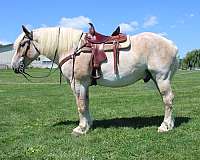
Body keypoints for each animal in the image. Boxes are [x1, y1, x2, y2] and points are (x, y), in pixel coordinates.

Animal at [11, 25, 179, 136]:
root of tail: (172, 45)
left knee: (168, 100)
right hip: (157, 79)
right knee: (167, 101)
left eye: (23, 44)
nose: (14, 66)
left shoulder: (78, 83)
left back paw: (164, 126)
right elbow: (85, 103)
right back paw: (170, 124)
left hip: (161, 78)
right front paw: (88, 125)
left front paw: (80, 129)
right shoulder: (84, 85)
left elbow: (80, 106)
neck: (72, 49)